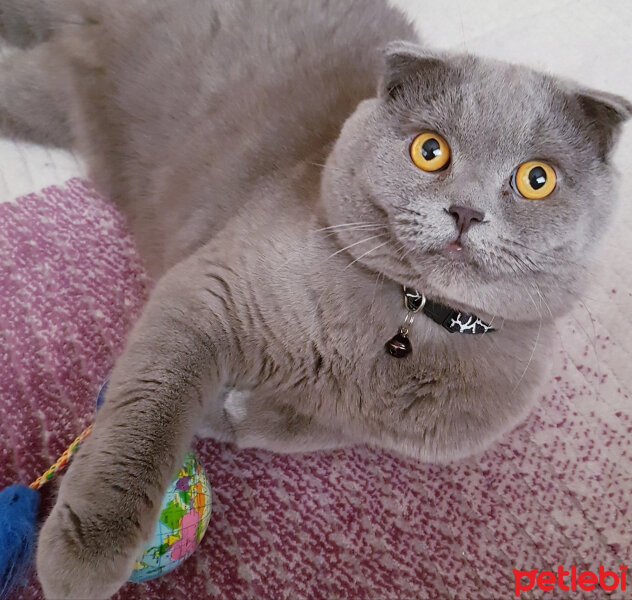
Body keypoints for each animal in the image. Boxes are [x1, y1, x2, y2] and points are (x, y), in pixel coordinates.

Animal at [0, 0, 628, 596]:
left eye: (536, 179)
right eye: (430, 150)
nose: (466, 210)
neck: (410, 318)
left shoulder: (395, 429)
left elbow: (303, 429)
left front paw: (232, 411)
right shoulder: (208, 290)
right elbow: (146, 414)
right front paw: (84, 556)